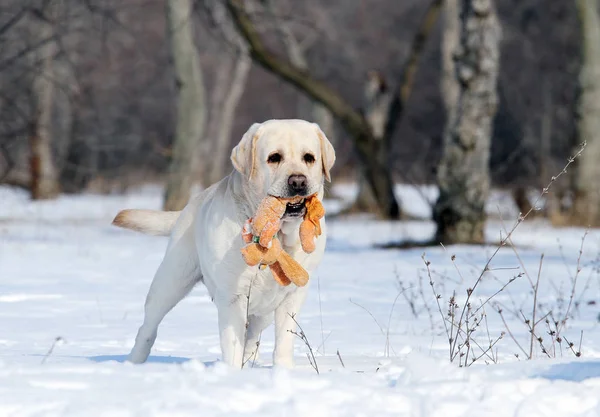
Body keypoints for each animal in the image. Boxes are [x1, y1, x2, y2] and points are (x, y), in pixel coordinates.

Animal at [112, 118, 336, 368]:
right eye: (274, 157)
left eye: (309, 158)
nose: (298, 182)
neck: (275, 236)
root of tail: (191, 205)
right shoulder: (232, 297)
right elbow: (233, 345)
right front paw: (232, 374)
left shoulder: (291, 296)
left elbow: (283, 342)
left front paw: (282, 371)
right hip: (170, 282)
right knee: (148, 328)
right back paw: (133, 363)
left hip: (264, 310)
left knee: (253, 337)